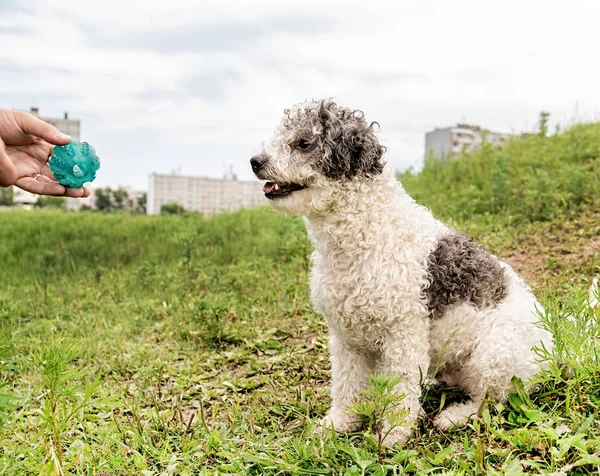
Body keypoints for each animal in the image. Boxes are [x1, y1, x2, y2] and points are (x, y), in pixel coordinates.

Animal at [251, 99, 556, 446]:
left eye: (304, 142)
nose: (255, 161)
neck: (367, 232)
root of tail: (553, 357)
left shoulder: (403, 335)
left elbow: (401, 388)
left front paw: (394, 432)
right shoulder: (345, 339)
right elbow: (346, 384)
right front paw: (340, 423)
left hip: (495, 352)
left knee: (492, 399)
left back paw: (455, 416)